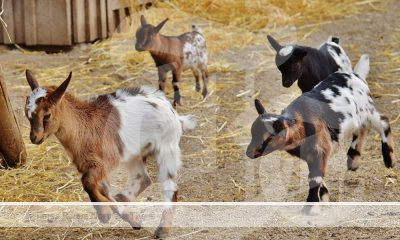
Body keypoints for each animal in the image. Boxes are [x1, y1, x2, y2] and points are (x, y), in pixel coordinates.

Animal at [24, 69, 196, 238]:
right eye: (27, 115)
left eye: (47, 115)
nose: (34, 138)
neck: (86, 126)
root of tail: (172, 111)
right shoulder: (91, 165)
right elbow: (101, 189)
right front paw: (129, 218)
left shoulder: (106, 161)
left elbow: (88, 183)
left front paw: (106, 214)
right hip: (134, 153)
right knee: (143, 179)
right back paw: (123, 198)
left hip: (167, 148)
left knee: (170, 187)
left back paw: (162, 230)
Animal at [245, 55, 396, 215]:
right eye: (252, 133)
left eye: (269, 137)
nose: (249, 153)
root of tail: (355, 74)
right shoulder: (312, 156)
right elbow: (319, 179)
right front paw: (323, 200)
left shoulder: (319, 151)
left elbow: (314, 179)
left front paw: (309, 208)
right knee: (362, 129)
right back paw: (353, 161)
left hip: (367, 111)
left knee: (383, 121)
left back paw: (389, 160)